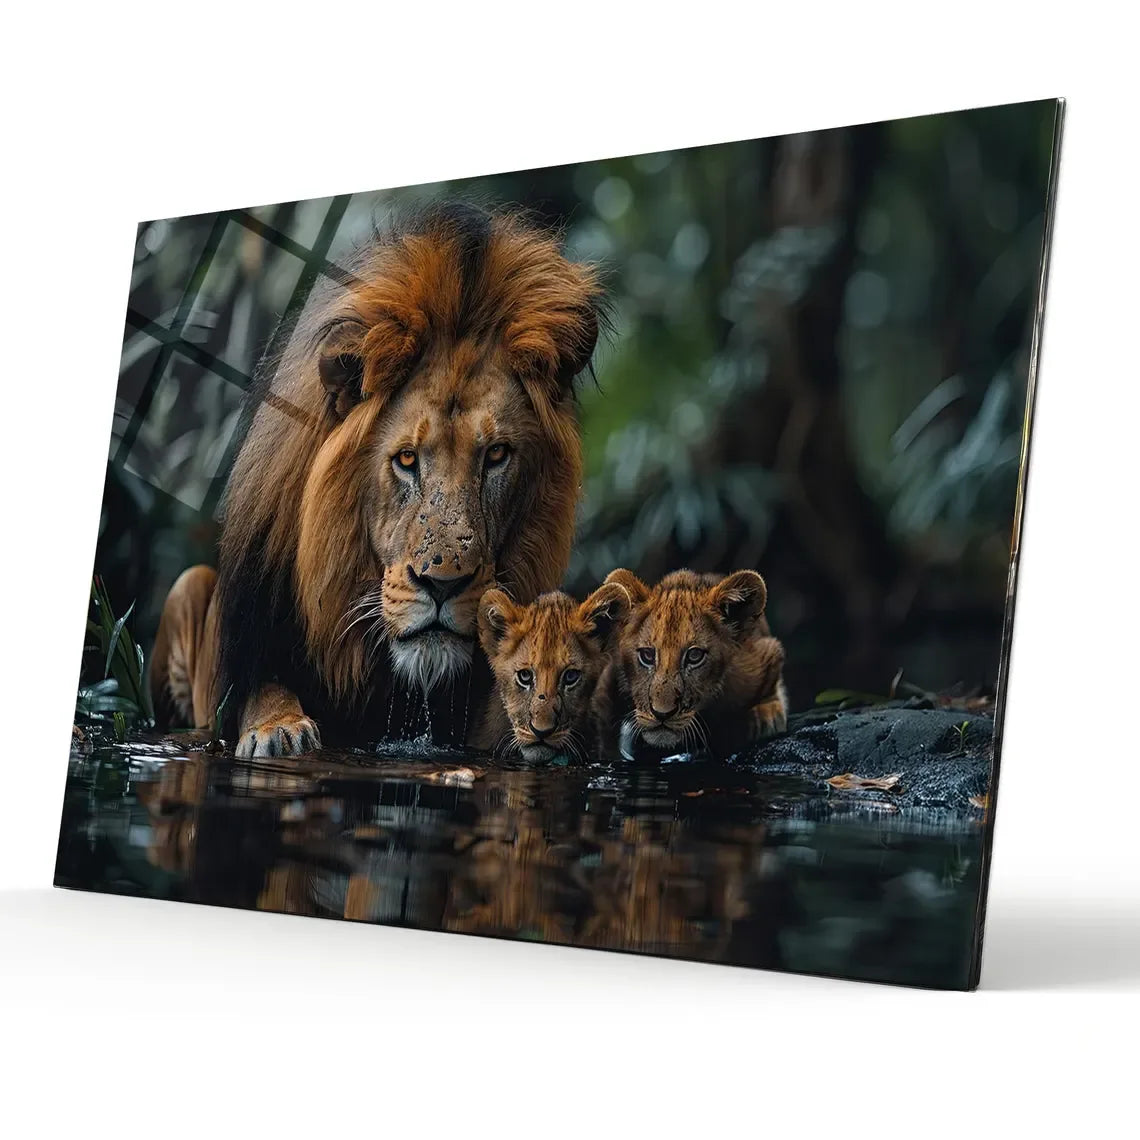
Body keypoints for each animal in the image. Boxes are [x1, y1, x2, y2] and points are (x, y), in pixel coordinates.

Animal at [149, 203, 604, 757]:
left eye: (495, 455)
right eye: (406, 459)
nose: (443, 585)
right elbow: (262, 688)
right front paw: (279, 729)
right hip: (189, 586)